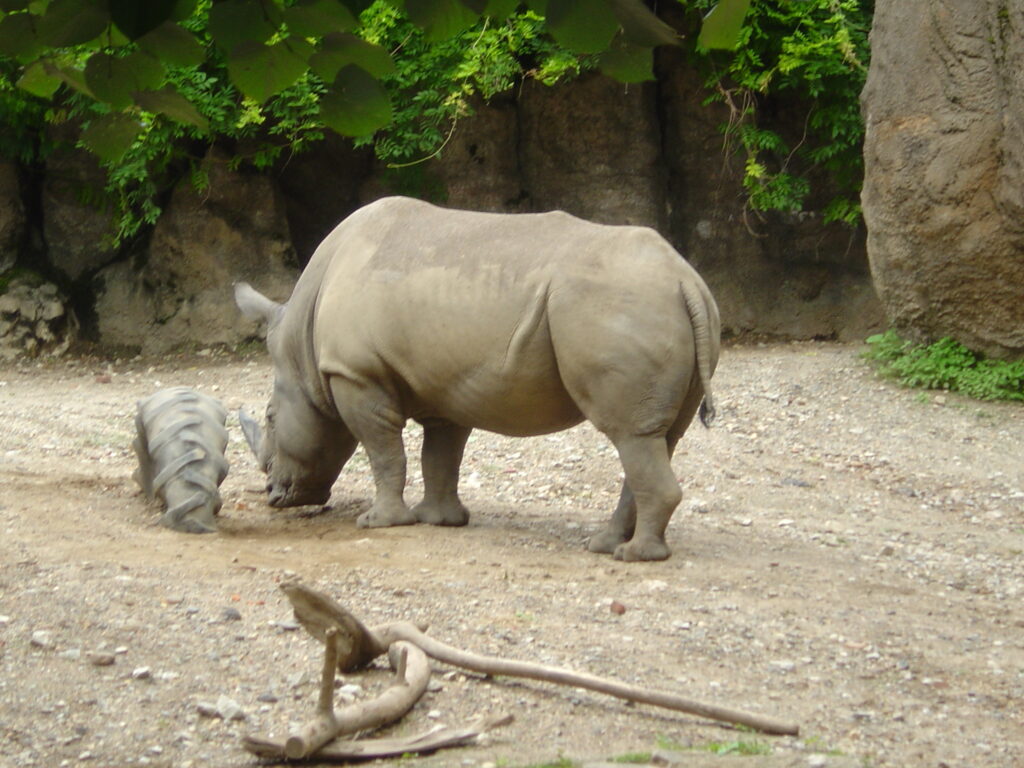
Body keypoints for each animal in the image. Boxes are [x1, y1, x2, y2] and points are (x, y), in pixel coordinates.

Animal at [238, 195, 720, 561]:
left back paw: (633, 556)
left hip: (619, 307)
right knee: (655, 440)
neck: (302, 347)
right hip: (666, 307)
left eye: (270, 418)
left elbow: (384, 452)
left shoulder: (355, 373)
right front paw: (441, 521)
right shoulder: (444, 389)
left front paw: (380, 522)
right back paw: (606, 544)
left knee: (630, 435)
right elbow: (440, 456)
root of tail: (686, 279)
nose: (272, 494)